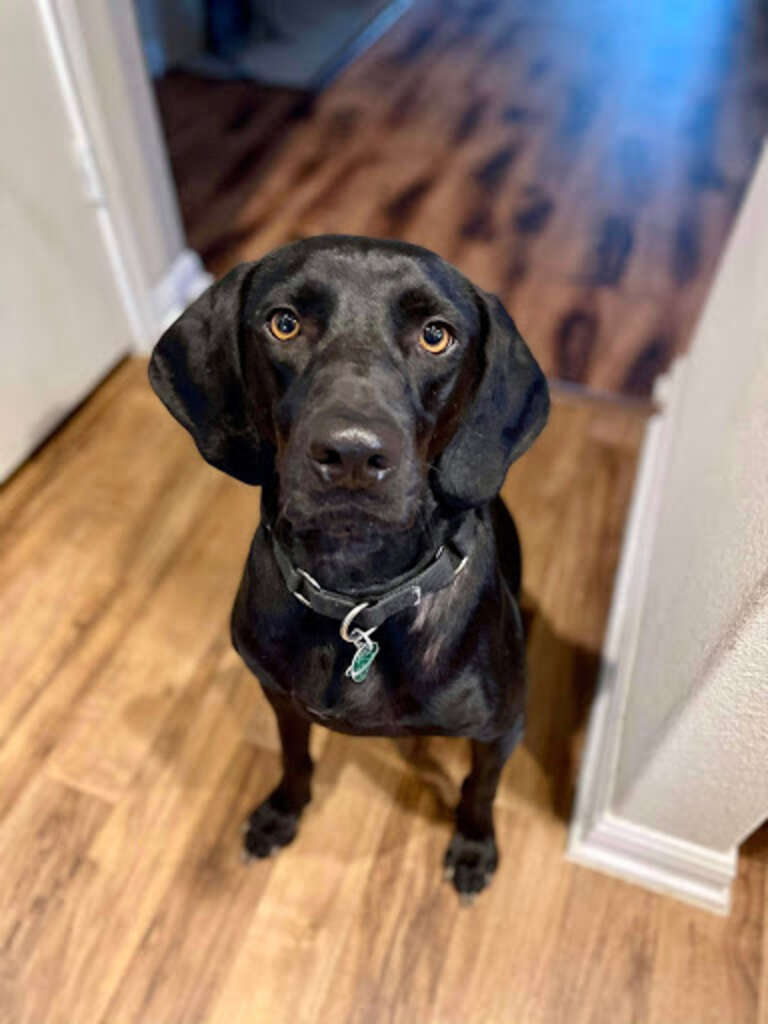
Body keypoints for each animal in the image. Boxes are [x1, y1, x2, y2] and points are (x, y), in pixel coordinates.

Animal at [148, 234, 548, 897]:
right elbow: (293, 754)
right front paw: (283, 810)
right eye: (284, 323)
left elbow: (479, 788)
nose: (354, 454)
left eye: (435, 335)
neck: (357, 592)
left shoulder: (500, 730)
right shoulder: (279, 697)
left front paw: (473, 846)